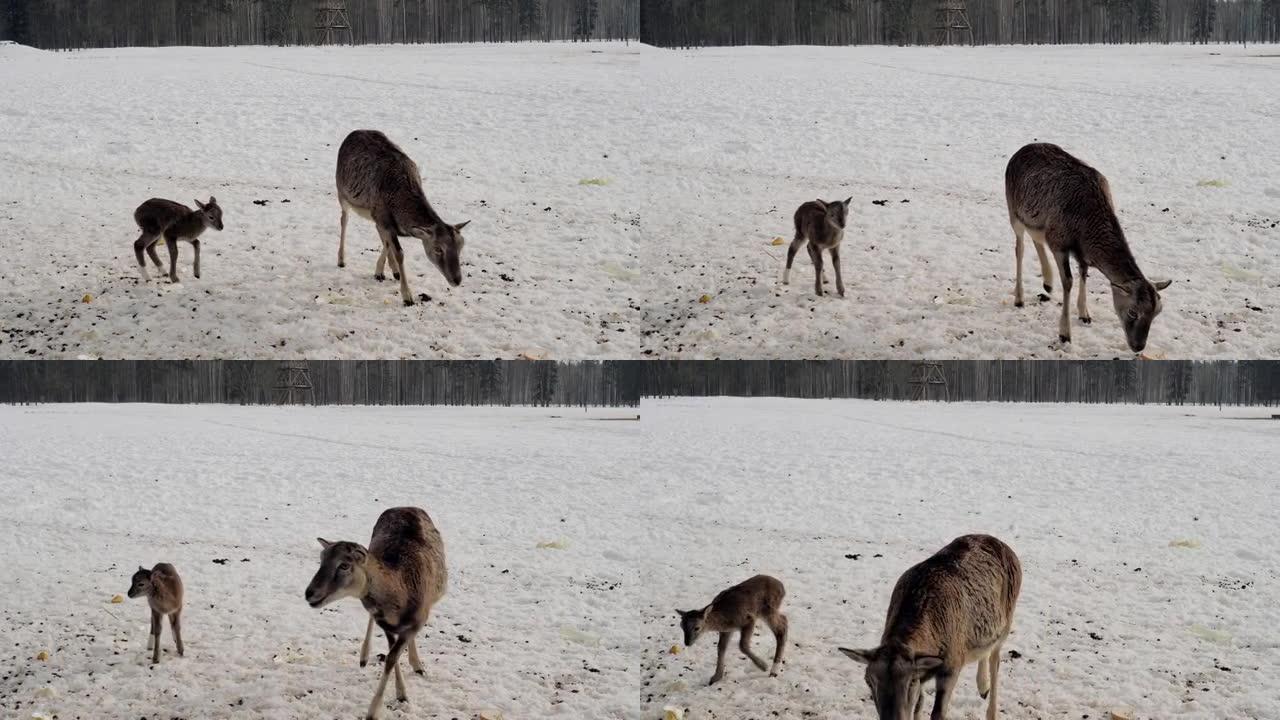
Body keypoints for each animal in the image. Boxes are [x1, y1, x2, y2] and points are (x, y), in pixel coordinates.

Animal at [307, 504, 448, 717]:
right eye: (321, 561)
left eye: (344, 565)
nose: (309, 593)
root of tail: (405, 506)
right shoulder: (387, 625)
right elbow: (391, 654)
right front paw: (400, 694)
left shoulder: (417, 621)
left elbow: (392, 657)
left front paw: (375, 710)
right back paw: (364, 657)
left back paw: (417, 666)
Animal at [335, 130, 471, 303]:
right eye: (438, 249)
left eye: (461, 245)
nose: (457, 280)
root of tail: (352, 133)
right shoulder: (383, 217)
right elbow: (400, 252)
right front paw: (407, 296)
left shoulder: (382, 218)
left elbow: (387, 242)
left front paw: (382, 272)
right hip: (341, 193)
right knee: (344, 220)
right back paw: (341, 260)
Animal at [834, 530, 1024, 717]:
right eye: (868, 681)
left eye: (910, 681)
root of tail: (1003, 544)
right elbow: (918, 705)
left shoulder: (952, 664)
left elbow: (938, 712)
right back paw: (983, 688)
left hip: (1007, 620)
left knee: (995, 660)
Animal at [1003, 142, 1172, 351]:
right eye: (1133, 312)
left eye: (1157, 312)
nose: (1138, 346)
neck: (1086, 224)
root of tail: (1020, 150)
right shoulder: (1059, 242)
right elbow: (1068, 281)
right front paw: (1065, 334)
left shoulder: (1079, 250)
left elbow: (1083, 273)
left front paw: (1084, 314)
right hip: (1014, 213)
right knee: (1019, 249)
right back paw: (1019, 298)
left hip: (1037, 221)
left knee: (1036, 239)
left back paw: (1048, 283)